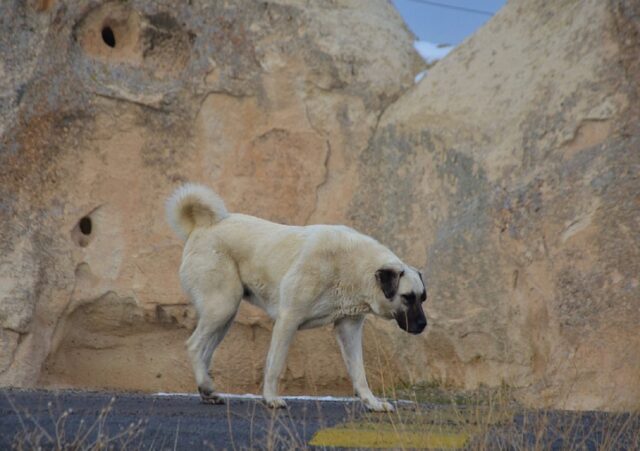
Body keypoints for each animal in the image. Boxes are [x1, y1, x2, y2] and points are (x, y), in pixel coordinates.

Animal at [165, 185, 428, 414]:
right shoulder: (288, 320)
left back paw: (207, 390)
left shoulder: (349, 329)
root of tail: (202, 227)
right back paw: (206, 386)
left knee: (205, 351)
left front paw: (372, 403)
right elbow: (275, 364)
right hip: (222, 307)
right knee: (194, 345)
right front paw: (271, 399)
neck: (352, 266)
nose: (423, 326)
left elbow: (359, 372)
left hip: (225, 316)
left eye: (423, 298)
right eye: (407, 297)